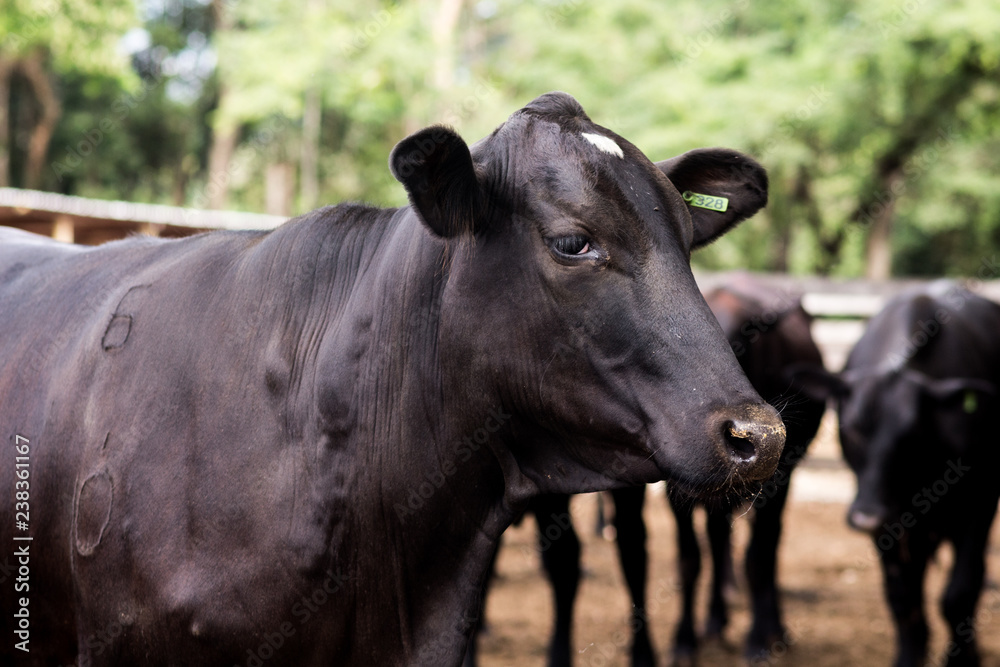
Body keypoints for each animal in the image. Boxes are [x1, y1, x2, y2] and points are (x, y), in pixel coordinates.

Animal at [800, 284, 1000, 667]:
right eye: (852, 429)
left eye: (911, 435)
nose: (866, 516)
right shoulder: (890, 526)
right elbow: (903, 598)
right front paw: (908, 657)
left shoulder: (979, 501)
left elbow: (959, 593)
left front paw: (962, 659)